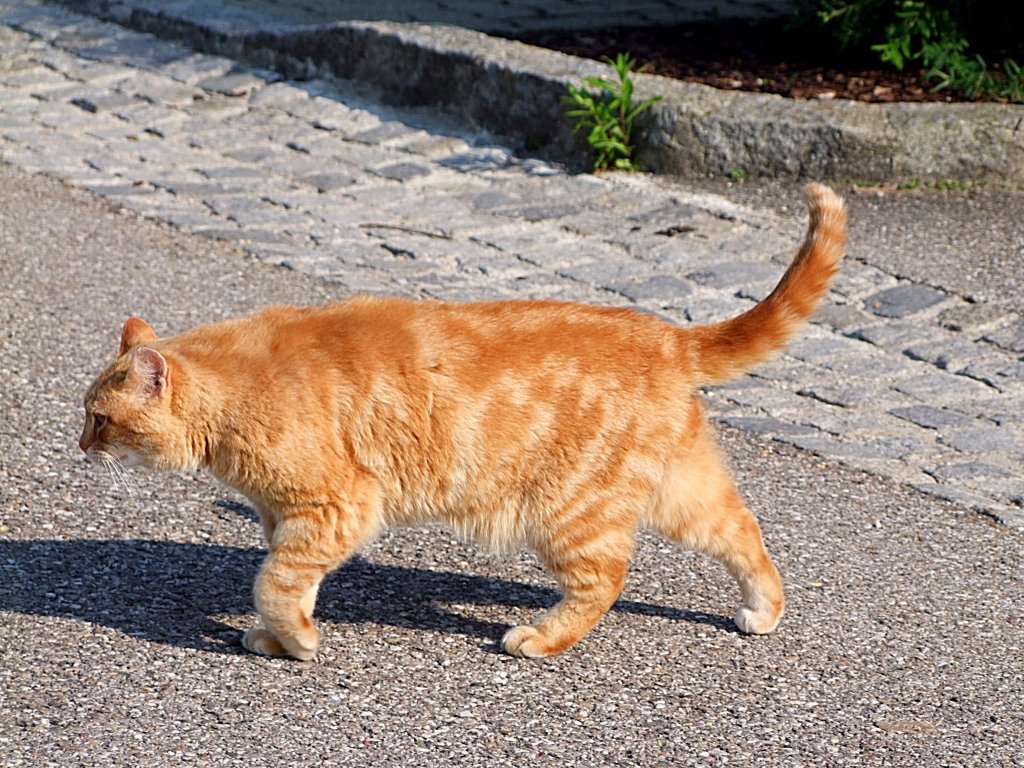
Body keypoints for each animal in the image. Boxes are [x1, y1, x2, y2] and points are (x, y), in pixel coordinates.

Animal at [79, 185, 847, 663]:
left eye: (99, 418)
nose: (80, 446)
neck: (238, 390)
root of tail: (664, 334)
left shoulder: (334, 507)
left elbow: (273, 583)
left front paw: (297, 643)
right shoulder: (296, 518)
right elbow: (289, 583)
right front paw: (281, 637)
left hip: (571, 512)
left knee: (605, 579)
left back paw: (541, 639)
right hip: (681, 492)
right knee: (742, 531)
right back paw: (764, 610)